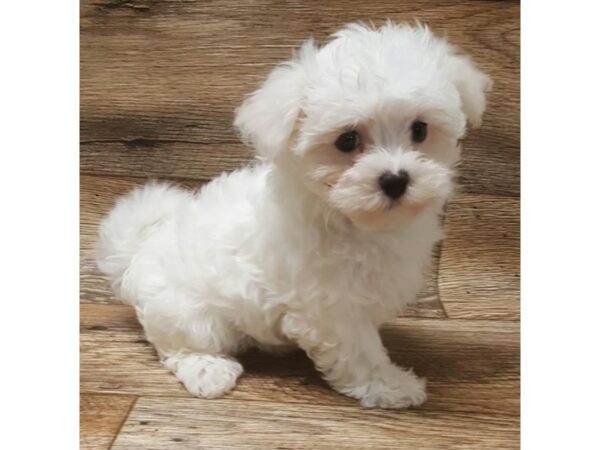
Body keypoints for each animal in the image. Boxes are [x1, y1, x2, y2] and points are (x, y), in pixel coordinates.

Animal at [96, 22, 490, 408]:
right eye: (347, 140)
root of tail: (138, 251)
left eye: (420, 130)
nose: (395, 180)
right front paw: (390, 386)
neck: (352, 220)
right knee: (181, 345)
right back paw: (208, 370)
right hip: (187, 313)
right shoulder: (331, 307)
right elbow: (359, 351)